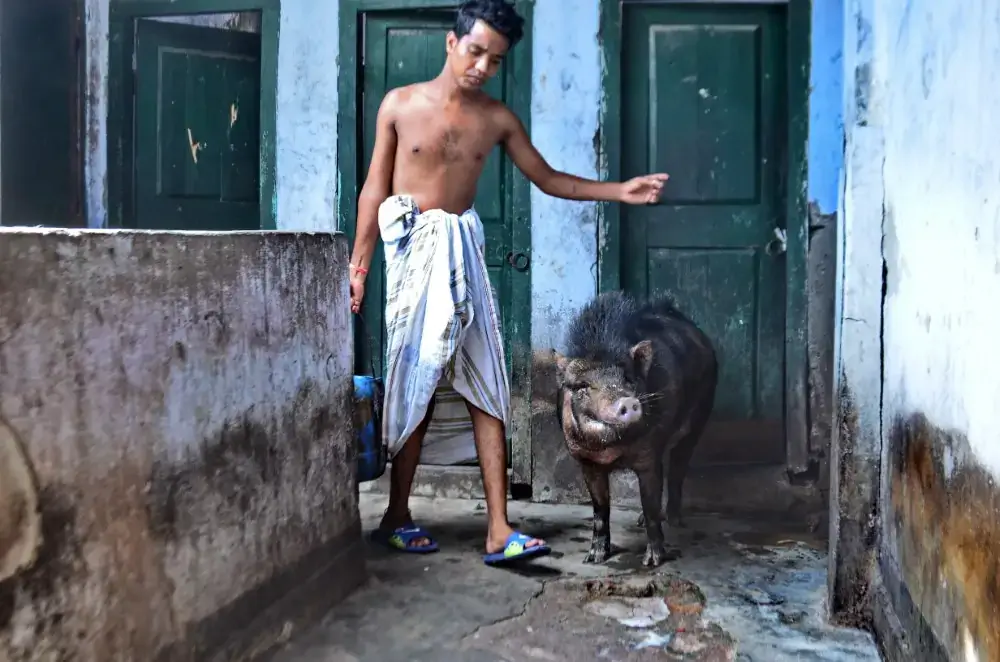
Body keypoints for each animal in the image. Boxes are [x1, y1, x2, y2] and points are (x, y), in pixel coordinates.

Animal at [552, 294, 716, 568]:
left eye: (628, 378)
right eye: (583, 386)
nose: (626, 401)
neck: (612, 450)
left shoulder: (649, 455)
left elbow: (650, 506)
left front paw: (653, 561)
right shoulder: (587, 462)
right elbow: (600, 509)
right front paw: (593, 559)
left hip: (699, 418)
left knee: (677, 469)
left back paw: (674, 520)